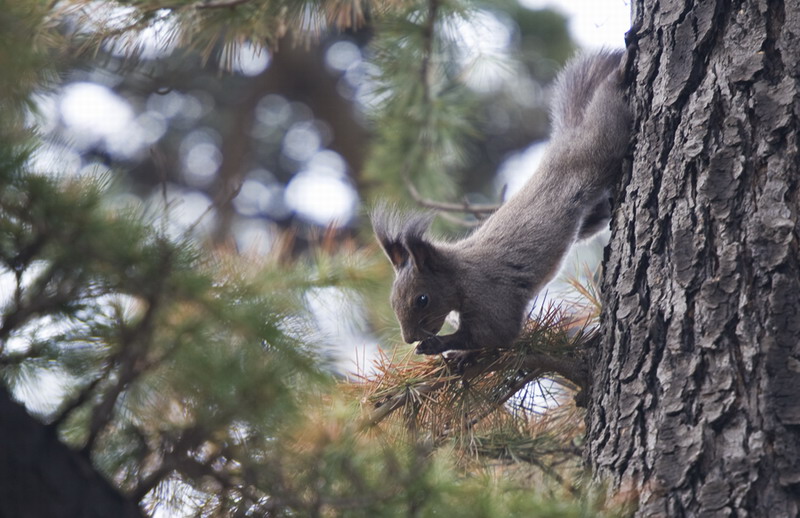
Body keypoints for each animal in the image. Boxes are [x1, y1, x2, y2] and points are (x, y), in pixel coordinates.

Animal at [374, 49, 632, 358]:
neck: (458, 273)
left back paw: (619, 74)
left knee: (607, 116)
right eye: (392, 302)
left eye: (422, 299)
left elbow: (493, 334)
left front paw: (441, 346)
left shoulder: (489, 295)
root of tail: (565, 138)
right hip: (592, 216)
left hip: (598, 146)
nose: (409, 338)